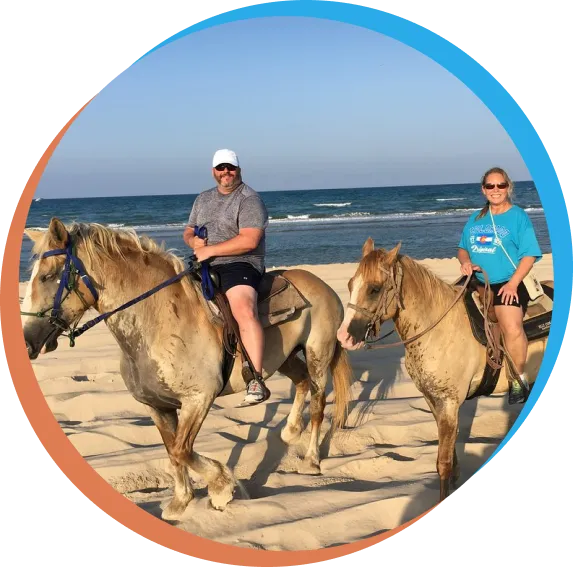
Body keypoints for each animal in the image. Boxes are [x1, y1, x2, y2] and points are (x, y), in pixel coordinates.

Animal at [20, 217, 355, 519]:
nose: (26, 341)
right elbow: (172, 451)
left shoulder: (198, 399)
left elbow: (182, 450)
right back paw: (289, 430)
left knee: (318, 402)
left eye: (49, 276)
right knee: (301, 383)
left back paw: (311, 460)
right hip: (285, 357)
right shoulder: (158, 406)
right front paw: (181, 502)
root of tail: (321, 285)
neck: (159, 322)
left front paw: (221, 488)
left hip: (318, 354)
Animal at [336, 237, 552, 501]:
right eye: (350, 284)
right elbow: (450, 456)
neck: (438, 329)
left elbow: (444, 462)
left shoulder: (449, 402)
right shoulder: (434, 400)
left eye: (374, 289)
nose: (343, 337)